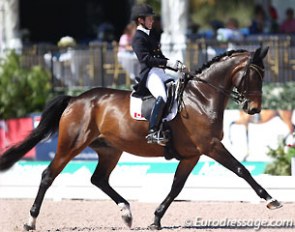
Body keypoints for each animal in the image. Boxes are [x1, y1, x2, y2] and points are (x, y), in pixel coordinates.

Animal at [0, 45, 284, 230]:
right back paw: (30, 221)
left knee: (98, 179)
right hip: (71, 144)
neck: (202, 97)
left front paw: (156, 218)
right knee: (48, 175)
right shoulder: (211, 146)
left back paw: (126, 212)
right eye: (255, 75)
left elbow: (177, 186)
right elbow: (241, 169)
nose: (253, 109)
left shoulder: (192, 154)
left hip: (110, 150)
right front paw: (271, 200)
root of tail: (76, 99)